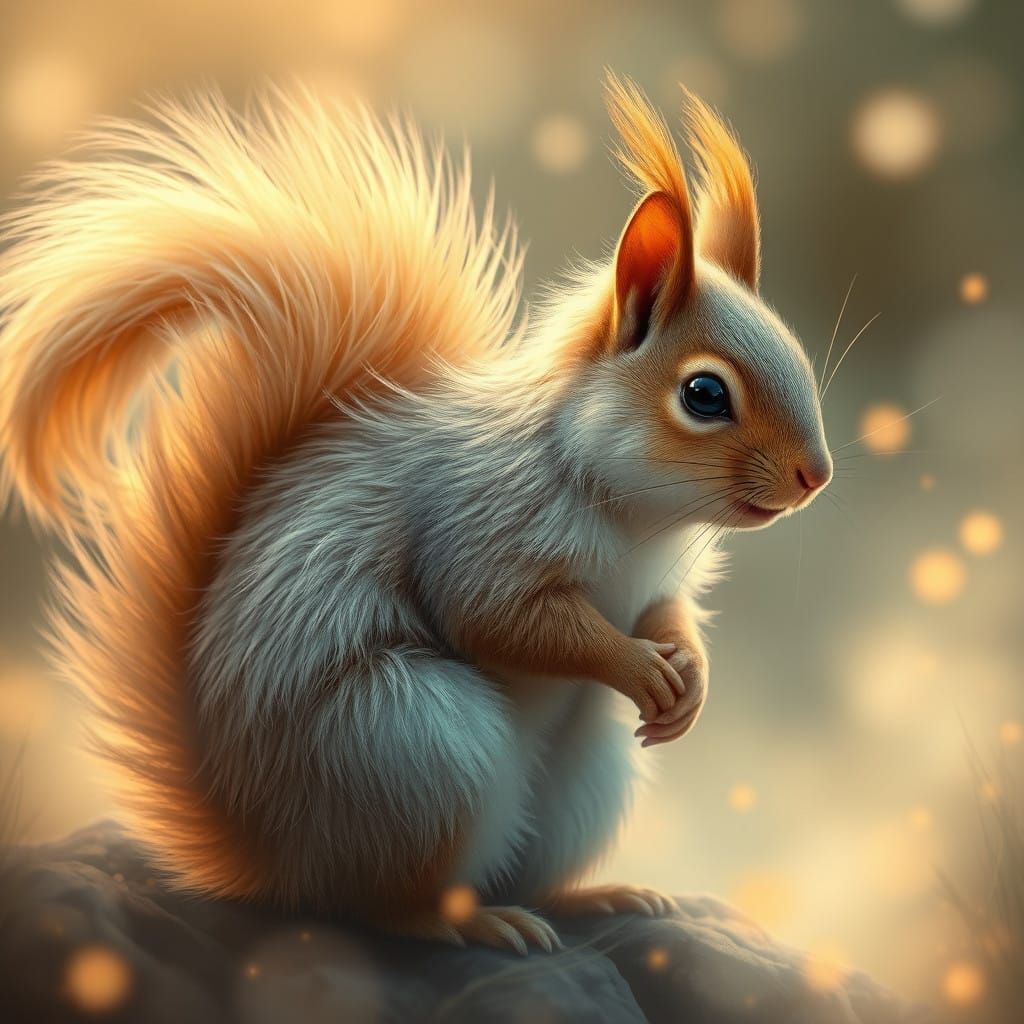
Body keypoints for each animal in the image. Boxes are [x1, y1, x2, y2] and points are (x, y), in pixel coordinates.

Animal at [0, 74, 831, 953]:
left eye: (799, 358)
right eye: (704, 394)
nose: (816, 475)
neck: (637, 516)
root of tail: (271, 860)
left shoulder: (659, 579)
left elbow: (670, 613)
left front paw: (691, 676)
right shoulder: (479, 523)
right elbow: (500, 618)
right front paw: (640, 668)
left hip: (577, 778)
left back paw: (593, 897)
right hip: (413, 745)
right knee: (378, 905)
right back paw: (473, 922)